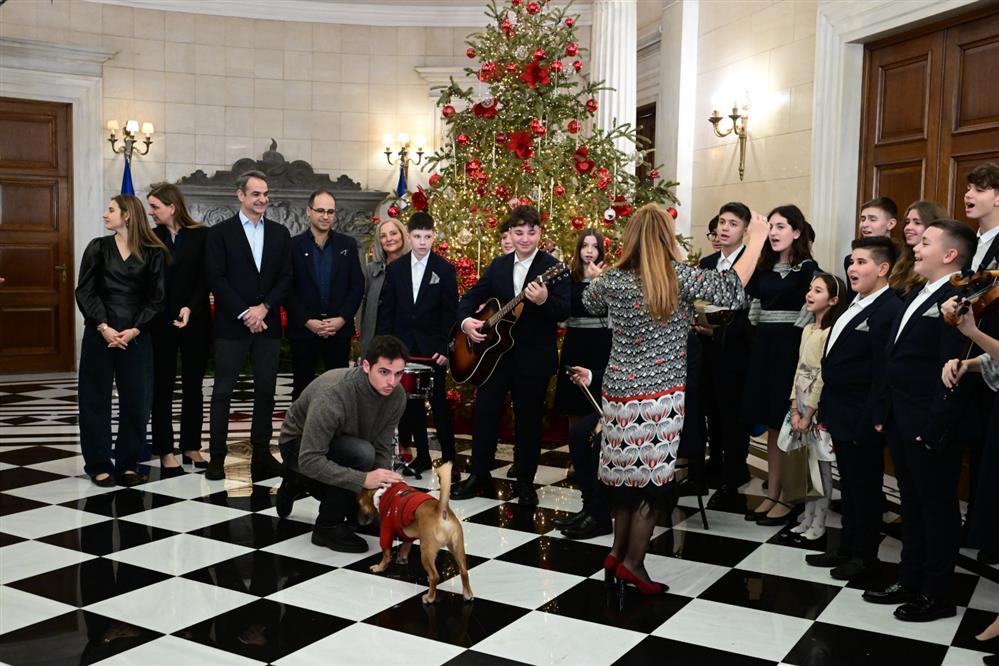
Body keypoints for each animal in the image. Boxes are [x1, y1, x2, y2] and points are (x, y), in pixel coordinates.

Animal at [358, 460, 474, 604]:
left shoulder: (386, 530)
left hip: (426, 552)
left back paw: (429, 597)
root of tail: (441, 509)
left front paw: (380, 567)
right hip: (457, 547)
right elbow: (405, 547)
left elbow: (386, 553)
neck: (383, 491)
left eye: (359, 503)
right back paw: (468, 594)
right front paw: (401, 559)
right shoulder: (407, 535)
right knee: (464, 571)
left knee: (435, 576)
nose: (359, 521)